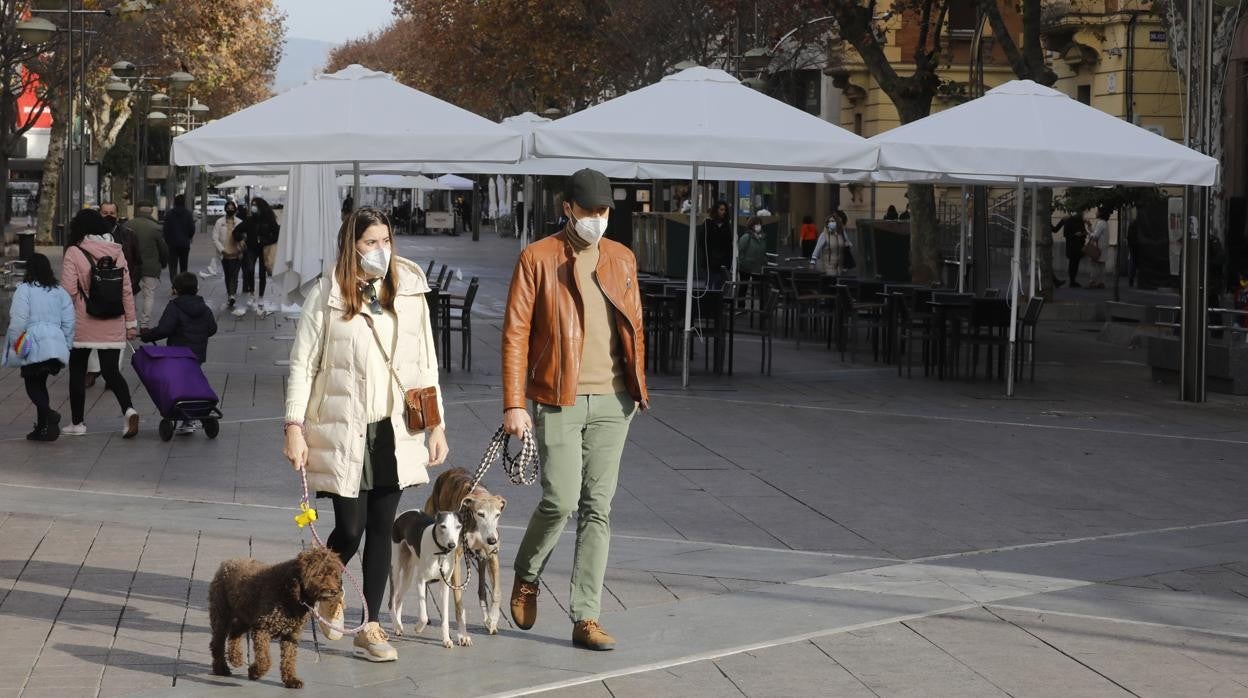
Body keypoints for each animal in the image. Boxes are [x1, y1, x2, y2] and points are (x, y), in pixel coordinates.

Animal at [209, 546, 344, 689]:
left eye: (334, 574)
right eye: (319, 574)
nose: (335, 591)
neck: (290, 593)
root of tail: (227, 563)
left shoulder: (291, 635)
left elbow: (289, 659)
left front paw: (291, 679)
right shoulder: (262, 629)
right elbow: (265, 660)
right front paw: (254, 672)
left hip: (245, 616)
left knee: (235, 632)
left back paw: (235, 658)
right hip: (221, 615)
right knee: (217, 643)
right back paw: (221, 668)